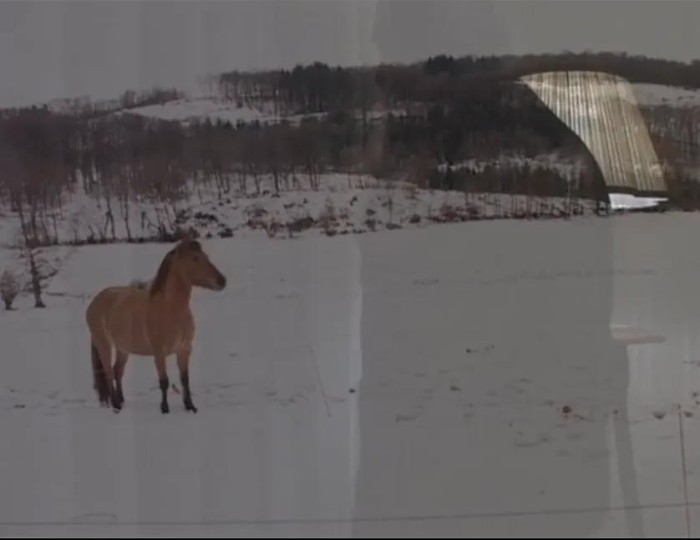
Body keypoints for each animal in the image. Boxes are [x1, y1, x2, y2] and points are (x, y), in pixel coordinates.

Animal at [85, 235, 227, 414]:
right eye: (195, 258)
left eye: (206, 256)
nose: (222, 281)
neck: (170, 309)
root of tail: (95, 301)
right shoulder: (159, 353)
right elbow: (164, 381)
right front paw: (164, 408)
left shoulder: (185, 349)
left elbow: (185, 379)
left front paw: (190, 406)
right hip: (103, 344)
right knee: (109, 372)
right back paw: (116, 404)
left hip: (123, 349)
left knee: (118, 371)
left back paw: (122, 401)